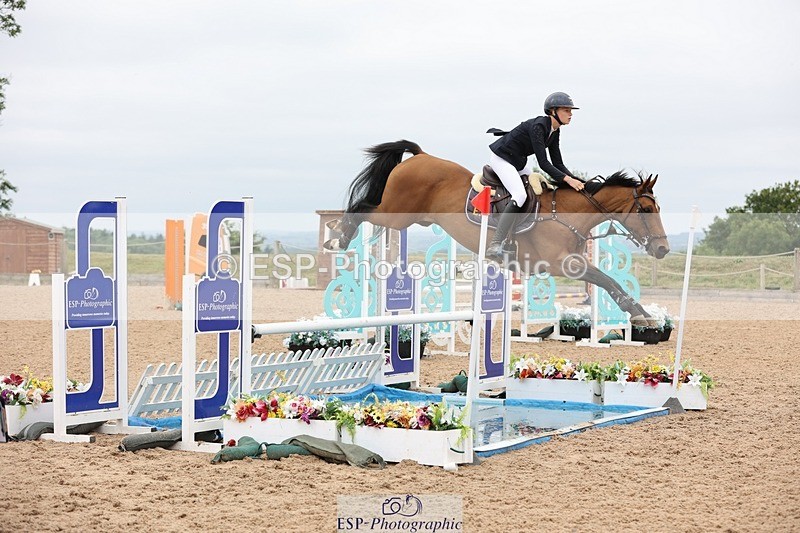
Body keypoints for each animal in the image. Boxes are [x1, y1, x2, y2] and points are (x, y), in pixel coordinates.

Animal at [324, 140, 670, 325]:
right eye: (646, 209)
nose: (663, 250)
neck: (565, 214)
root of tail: (420, 155)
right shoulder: (563, 264)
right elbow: (607, 280)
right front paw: (639, 314)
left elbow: (606, 281)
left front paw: (641, 313)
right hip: (396, 214)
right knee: (361, 208)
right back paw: (336, 236)